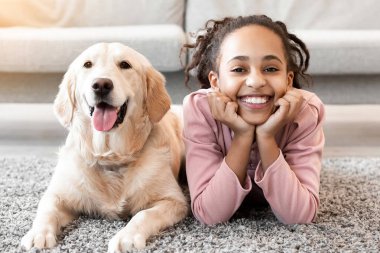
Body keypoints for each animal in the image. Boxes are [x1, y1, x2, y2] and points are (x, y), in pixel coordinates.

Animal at [19, 42, 189, 252]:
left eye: (125, 64)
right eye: (87, 64)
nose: (101, 85)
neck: (109, 155)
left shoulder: (174, 201)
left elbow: (143, 214)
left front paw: (127, 237)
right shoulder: (59, 194)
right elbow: (46, 208)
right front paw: (38, 234)